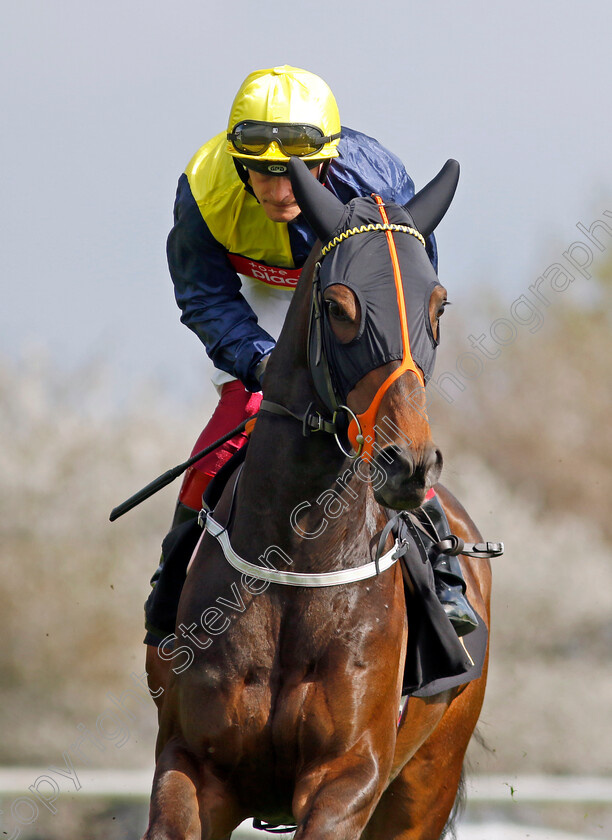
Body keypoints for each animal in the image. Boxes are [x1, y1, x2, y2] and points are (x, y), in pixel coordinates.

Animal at [143, 158, 492, 840]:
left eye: (438, 305)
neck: (296, 559)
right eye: (337, 306)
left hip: (427, 778)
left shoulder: (348, 776)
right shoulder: (191, 764)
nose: (408, 462)